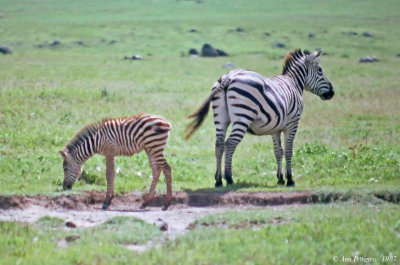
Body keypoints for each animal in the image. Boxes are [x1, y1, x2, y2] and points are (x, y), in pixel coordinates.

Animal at [187, 49, 334, 186]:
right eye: (320, 70)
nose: (332, 92)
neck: (294, 83)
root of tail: (228, 77)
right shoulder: (292, 123)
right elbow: (288, 150)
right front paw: (290, 179)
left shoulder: (276, 128)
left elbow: (278, 151)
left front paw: (280, 178)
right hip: (243, 116)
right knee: (230, 143)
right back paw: (229, 178)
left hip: (220, 117)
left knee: (219, 144)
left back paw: (218, 180)